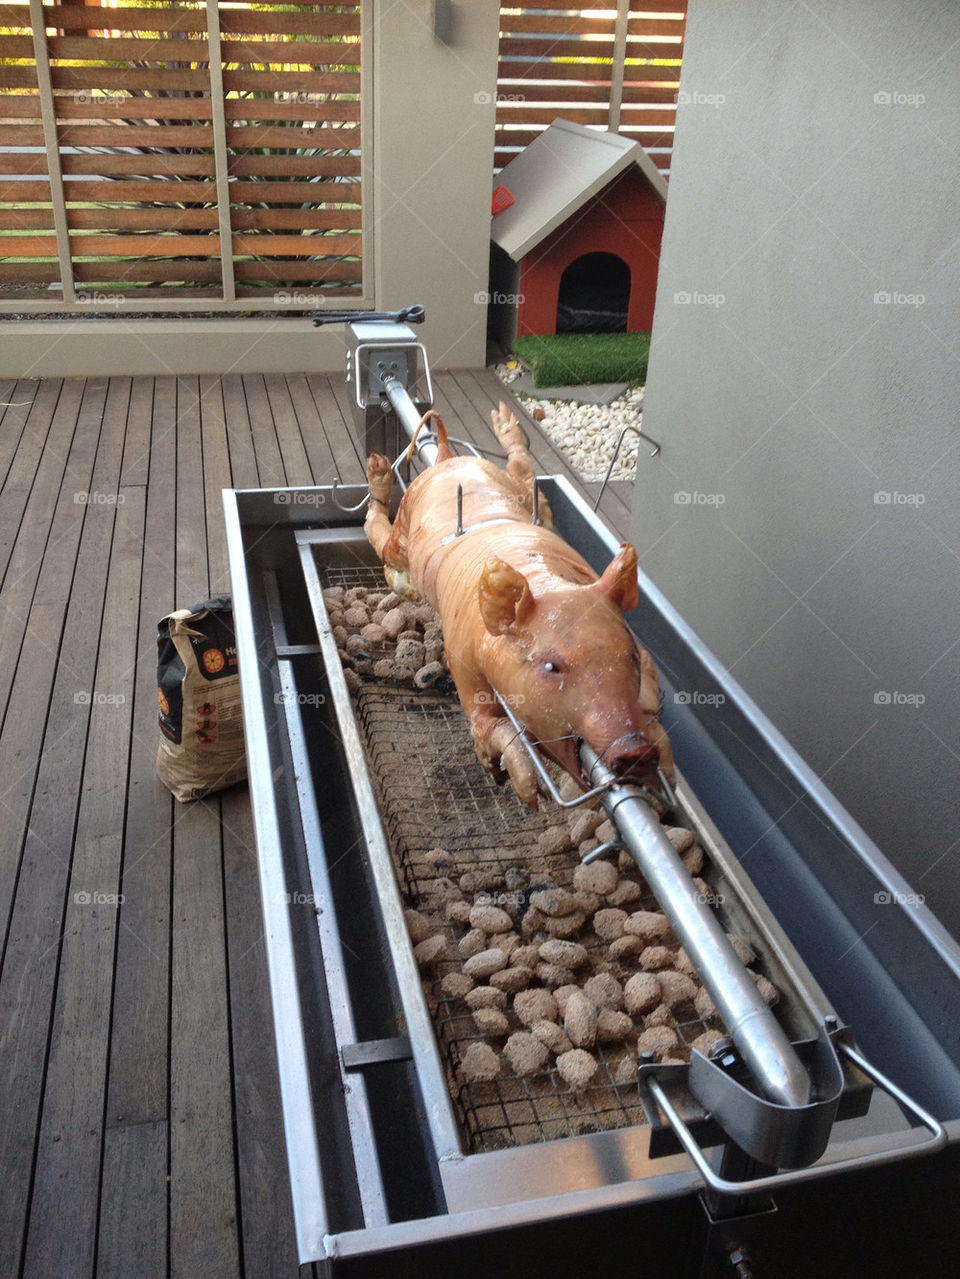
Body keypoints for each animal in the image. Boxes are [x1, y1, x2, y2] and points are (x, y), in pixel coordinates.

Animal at [363, 401, 674, 809]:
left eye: (631, 658)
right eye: (551, 666)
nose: (634, 751)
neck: (541, 578)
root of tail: (444, 458)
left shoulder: (643, 652)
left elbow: (653, 705)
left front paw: (665, 771)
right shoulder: (460, 653)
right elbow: (486, 725)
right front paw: (527, 793)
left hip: (523, 495)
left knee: (526, 472)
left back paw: (503, 422)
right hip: (402, 531)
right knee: (378, 531)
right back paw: (378, 468)